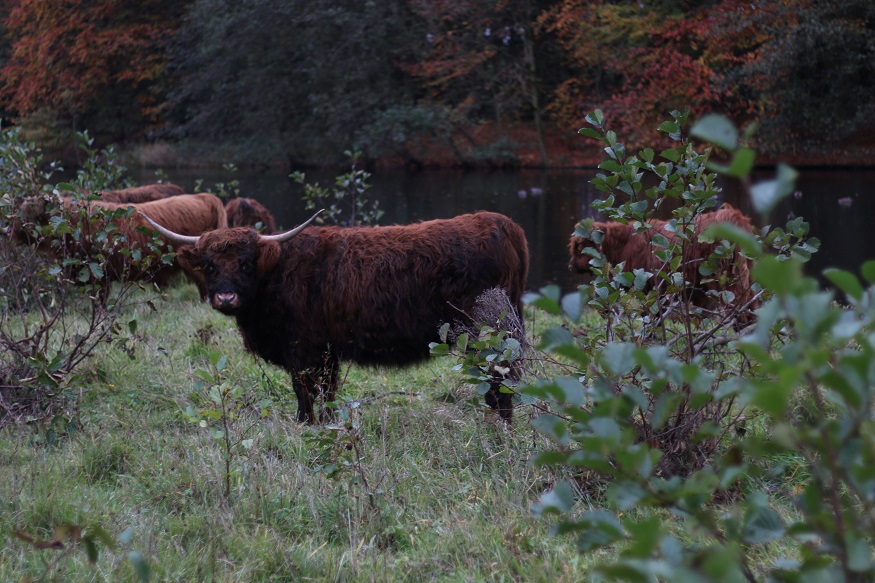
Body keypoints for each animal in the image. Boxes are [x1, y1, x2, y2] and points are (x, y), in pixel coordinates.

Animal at [140, 210, 530, 423]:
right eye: (209, 265)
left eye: (246, 262)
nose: (225, 296)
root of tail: (502, 223)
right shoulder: (325, 350)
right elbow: (324, 391)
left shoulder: (303, 349)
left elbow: (305, 391)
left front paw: (307, 425)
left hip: (489, 332)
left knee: (501, 380)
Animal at [569, 203, 759, 326]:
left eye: (580, 247)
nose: (570, 266)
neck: (624, 244)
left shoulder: (647, 289)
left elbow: (650, 321)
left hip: (727, 279)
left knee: (741, 311)